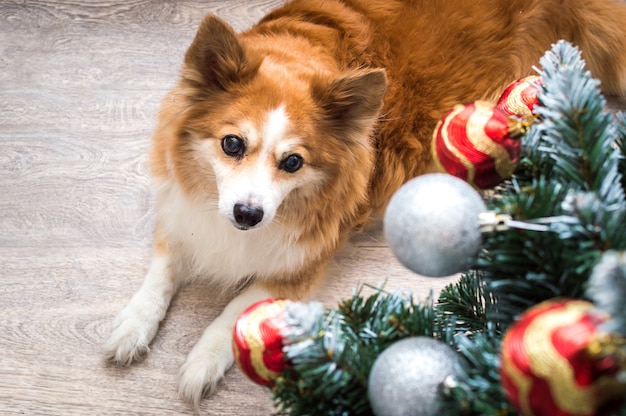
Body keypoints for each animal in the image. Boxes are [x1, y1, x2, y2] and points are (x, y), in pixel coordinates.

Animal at [102, 0, 624, 404]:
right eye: (232, 144)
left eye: (293, 162)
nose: (247, 216)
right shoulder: (183, 214)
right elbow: (161, 273)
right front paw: (132, 324)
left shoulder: (304, 259)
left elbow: (236, 313)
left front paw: (201, 363)